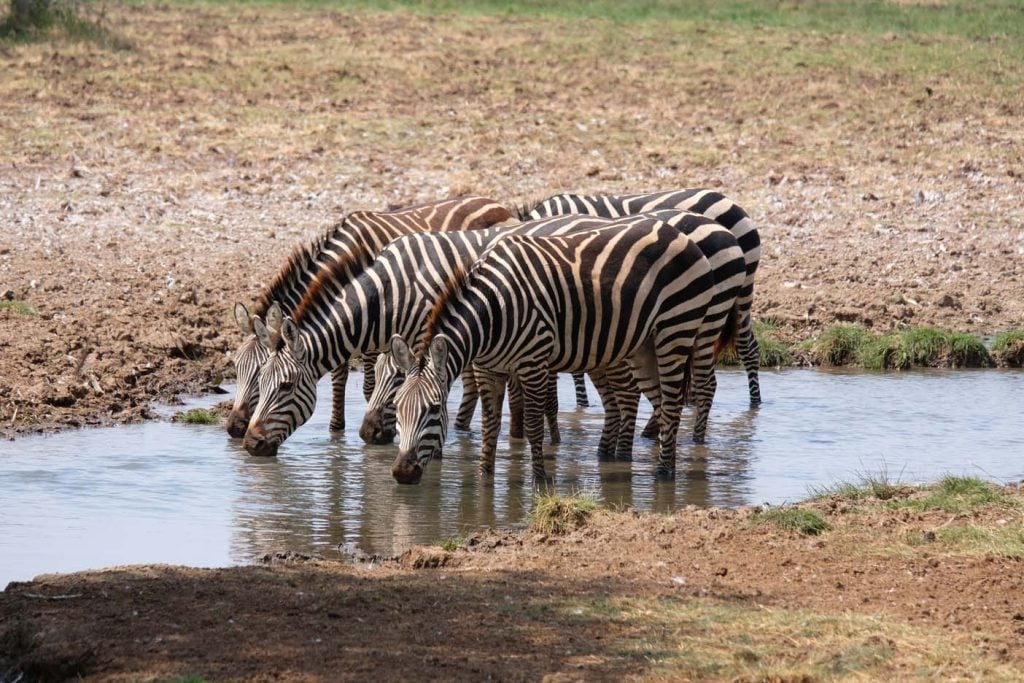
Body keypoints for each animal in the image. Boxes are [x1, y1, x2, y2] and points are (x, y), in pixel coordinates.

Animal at [224, 194, 512, 440]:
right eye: (236, 367)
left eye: (259, 373)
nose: (234, 428)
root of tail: (493, 201)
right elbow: (339, 376)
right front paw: (336, 428)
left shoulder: (375, 333)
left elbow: (369, 386)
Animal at [391, 216, 720, 483]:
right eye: (396, 407)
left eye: (435, 409)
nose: (402, 473)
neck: (492, 310)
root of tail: (678, 233)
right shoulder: (489, 369)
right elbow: (489, 426)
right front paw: (485, 478)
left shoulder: (533, 362)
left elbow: (534, 425)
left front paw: (540, 480)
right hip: (643, 345)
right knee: (656, 402)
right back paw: (649, 464)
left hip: (676, 329)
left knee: (675, 403)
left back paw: (664, 474)